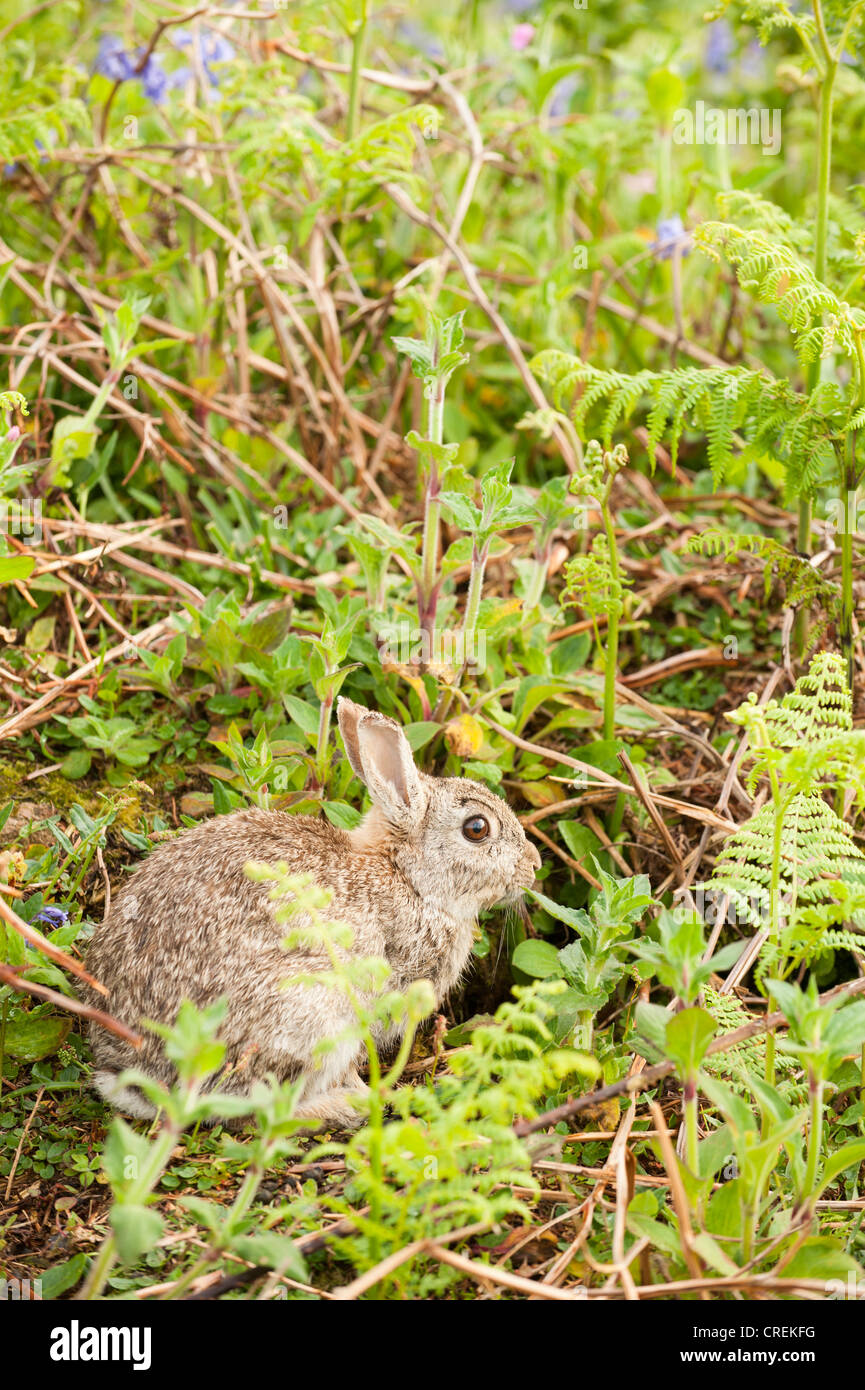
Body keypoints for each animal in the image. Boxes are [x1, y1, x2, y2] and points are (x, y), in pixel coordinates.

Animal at [82, 697, 542, 1129]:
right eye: (477, 828)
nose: (534, 864)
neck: (407, 876)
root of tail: (133, 1073)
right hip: (311, 1019)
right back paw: (347, 1105)